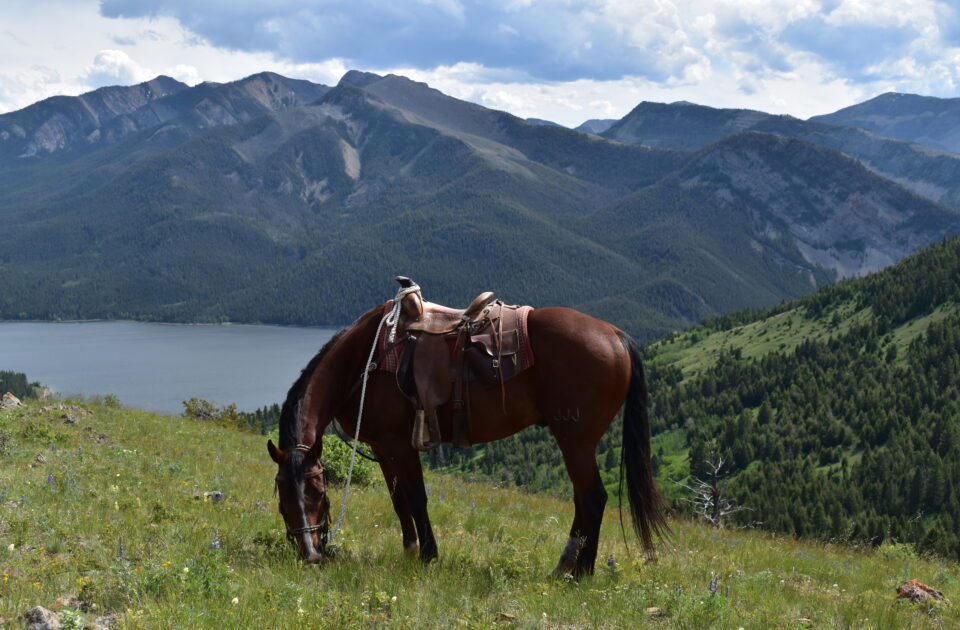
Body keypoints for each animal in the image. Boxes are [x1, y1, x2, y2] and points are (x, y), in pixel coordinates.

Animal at [264, 286, 668, 576]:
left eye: (318, 492)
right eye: (282, 498)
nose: (311, 556)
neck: (364, 361)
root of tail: (614, 333)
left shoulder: (400, 444)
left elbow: (416, 498)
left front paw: (428, 556)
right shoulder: (382, 445)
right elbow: (397, 500)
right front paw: (410, 550)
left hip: (576, 441)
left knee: (592, 498)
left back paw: (577, 572)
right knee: (586, 500)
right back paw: (569, 567)